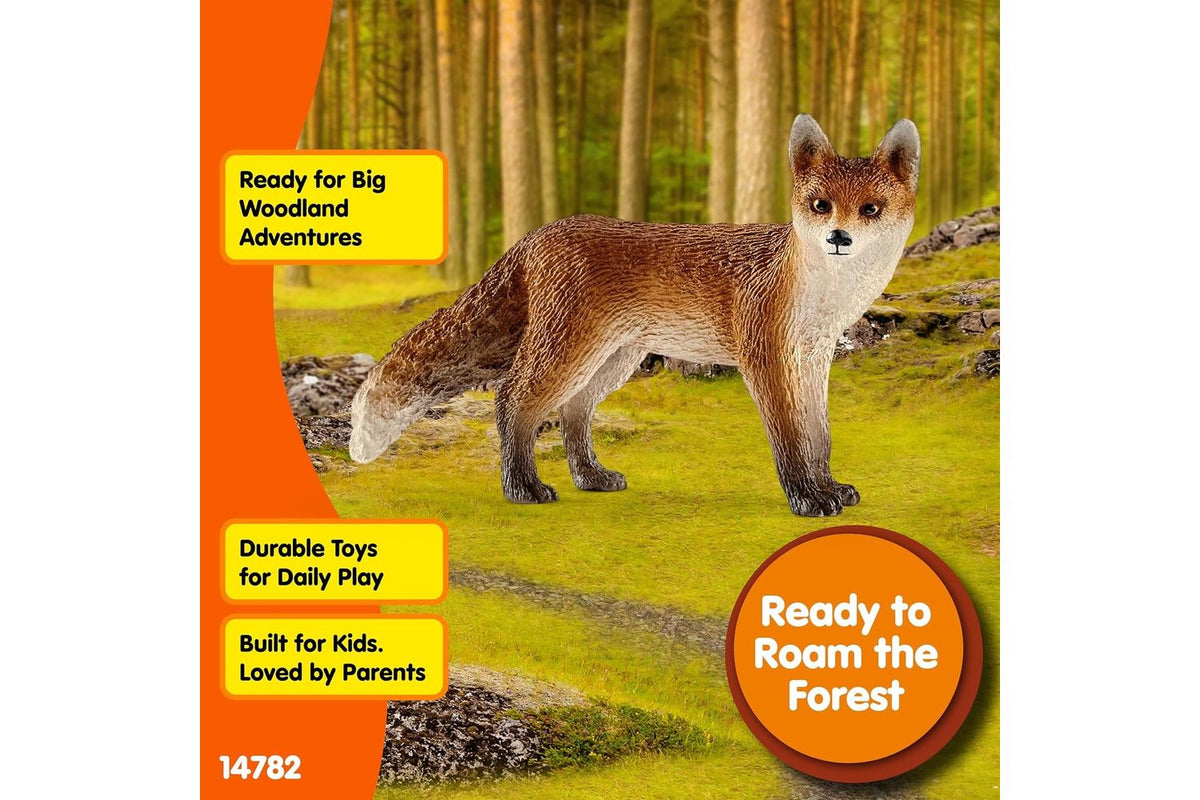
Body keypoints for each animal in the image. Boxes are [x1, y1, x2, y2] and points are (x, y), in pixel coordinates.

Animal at [349, 114, 919, 516]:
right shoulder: (766, 362)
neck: (820, 296)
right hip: (570, 352)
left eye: (870, 210)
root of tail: (536, 234)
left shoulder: (814, 361)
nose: (839, 238)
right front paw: (806, 498)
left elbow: (820, 438)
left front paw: (830, 488)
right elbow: (792, 441)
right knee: (513, 401)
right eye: (821, 205)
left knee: (573, 412)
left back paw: (590, 478)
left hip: (613, 360)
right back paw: (524, 488)